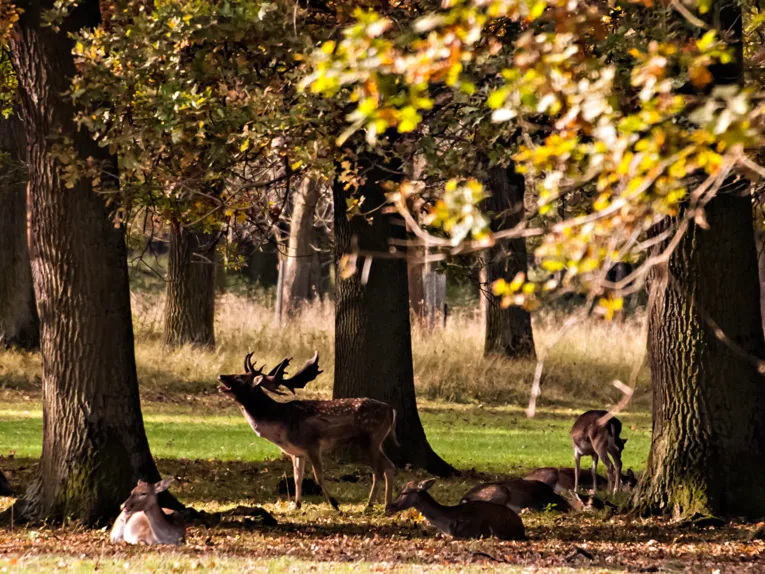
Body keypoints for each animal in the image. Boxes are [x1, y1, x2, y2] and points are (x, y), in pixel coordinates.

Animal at [217, 351, 397, 511]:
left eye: (240, 377)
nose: (221, 376)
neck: (281, 424)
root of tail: (391, 409)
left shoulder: (312, 444)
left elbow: (318, 476)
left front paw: (335, 504)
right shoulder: (296, 452)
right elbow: (298, 478)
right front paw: (296, 506)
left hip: (370, 437)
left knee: (378, 471)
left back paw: (369, 505)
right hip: (376, 441)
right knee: (389, 466)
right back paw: (386, 505)